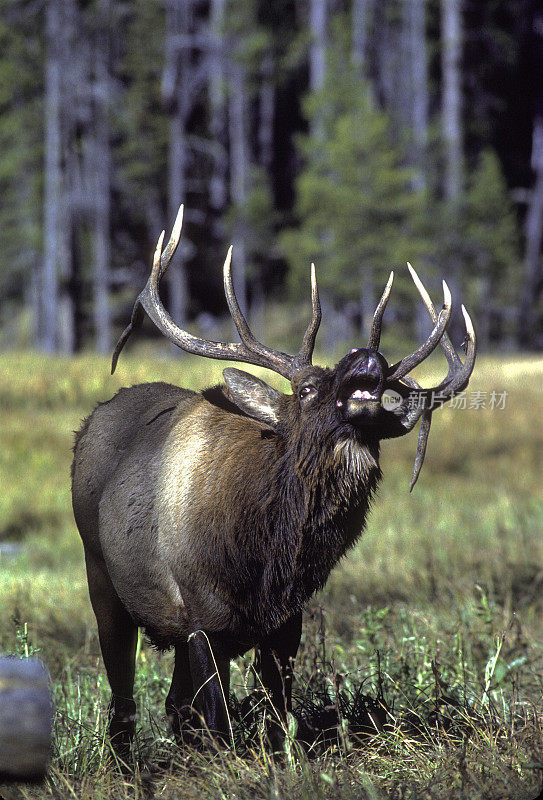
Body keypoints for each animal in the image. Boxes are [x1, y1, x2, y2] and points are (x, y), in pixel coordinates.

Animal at [72, 205, 476, 752]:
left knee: (173, 706)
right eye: (306, 390)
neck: (265, 556)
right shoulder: (201, 615)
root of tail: (89, 424)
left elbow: (281, 720)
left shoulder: (287, 618)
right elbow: (219, 722)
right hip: (102, 579)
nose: (366, 356)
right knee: (124, 703)